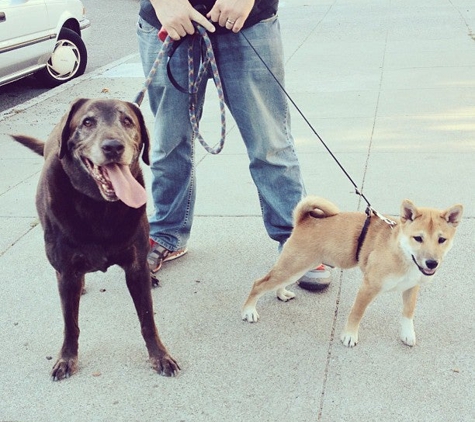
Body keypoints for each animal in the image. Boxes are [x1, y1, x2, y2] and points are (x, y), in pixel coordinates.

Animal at [244, 196, 462, 348]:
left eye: (442, 240)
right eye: (418, 238)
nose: (432, 263)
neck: (402, 253)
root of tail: (305, 220)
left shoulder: (411, 287)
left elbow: (408, 313)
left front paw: (407, 334)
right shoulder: (368, 287)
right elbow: (357, 313)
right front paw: (349, 335)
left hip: (296, 267)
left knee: (276, 281)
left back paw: (281, 294)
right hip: (293, 266)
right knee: (259, 283)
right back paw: (249, 311)